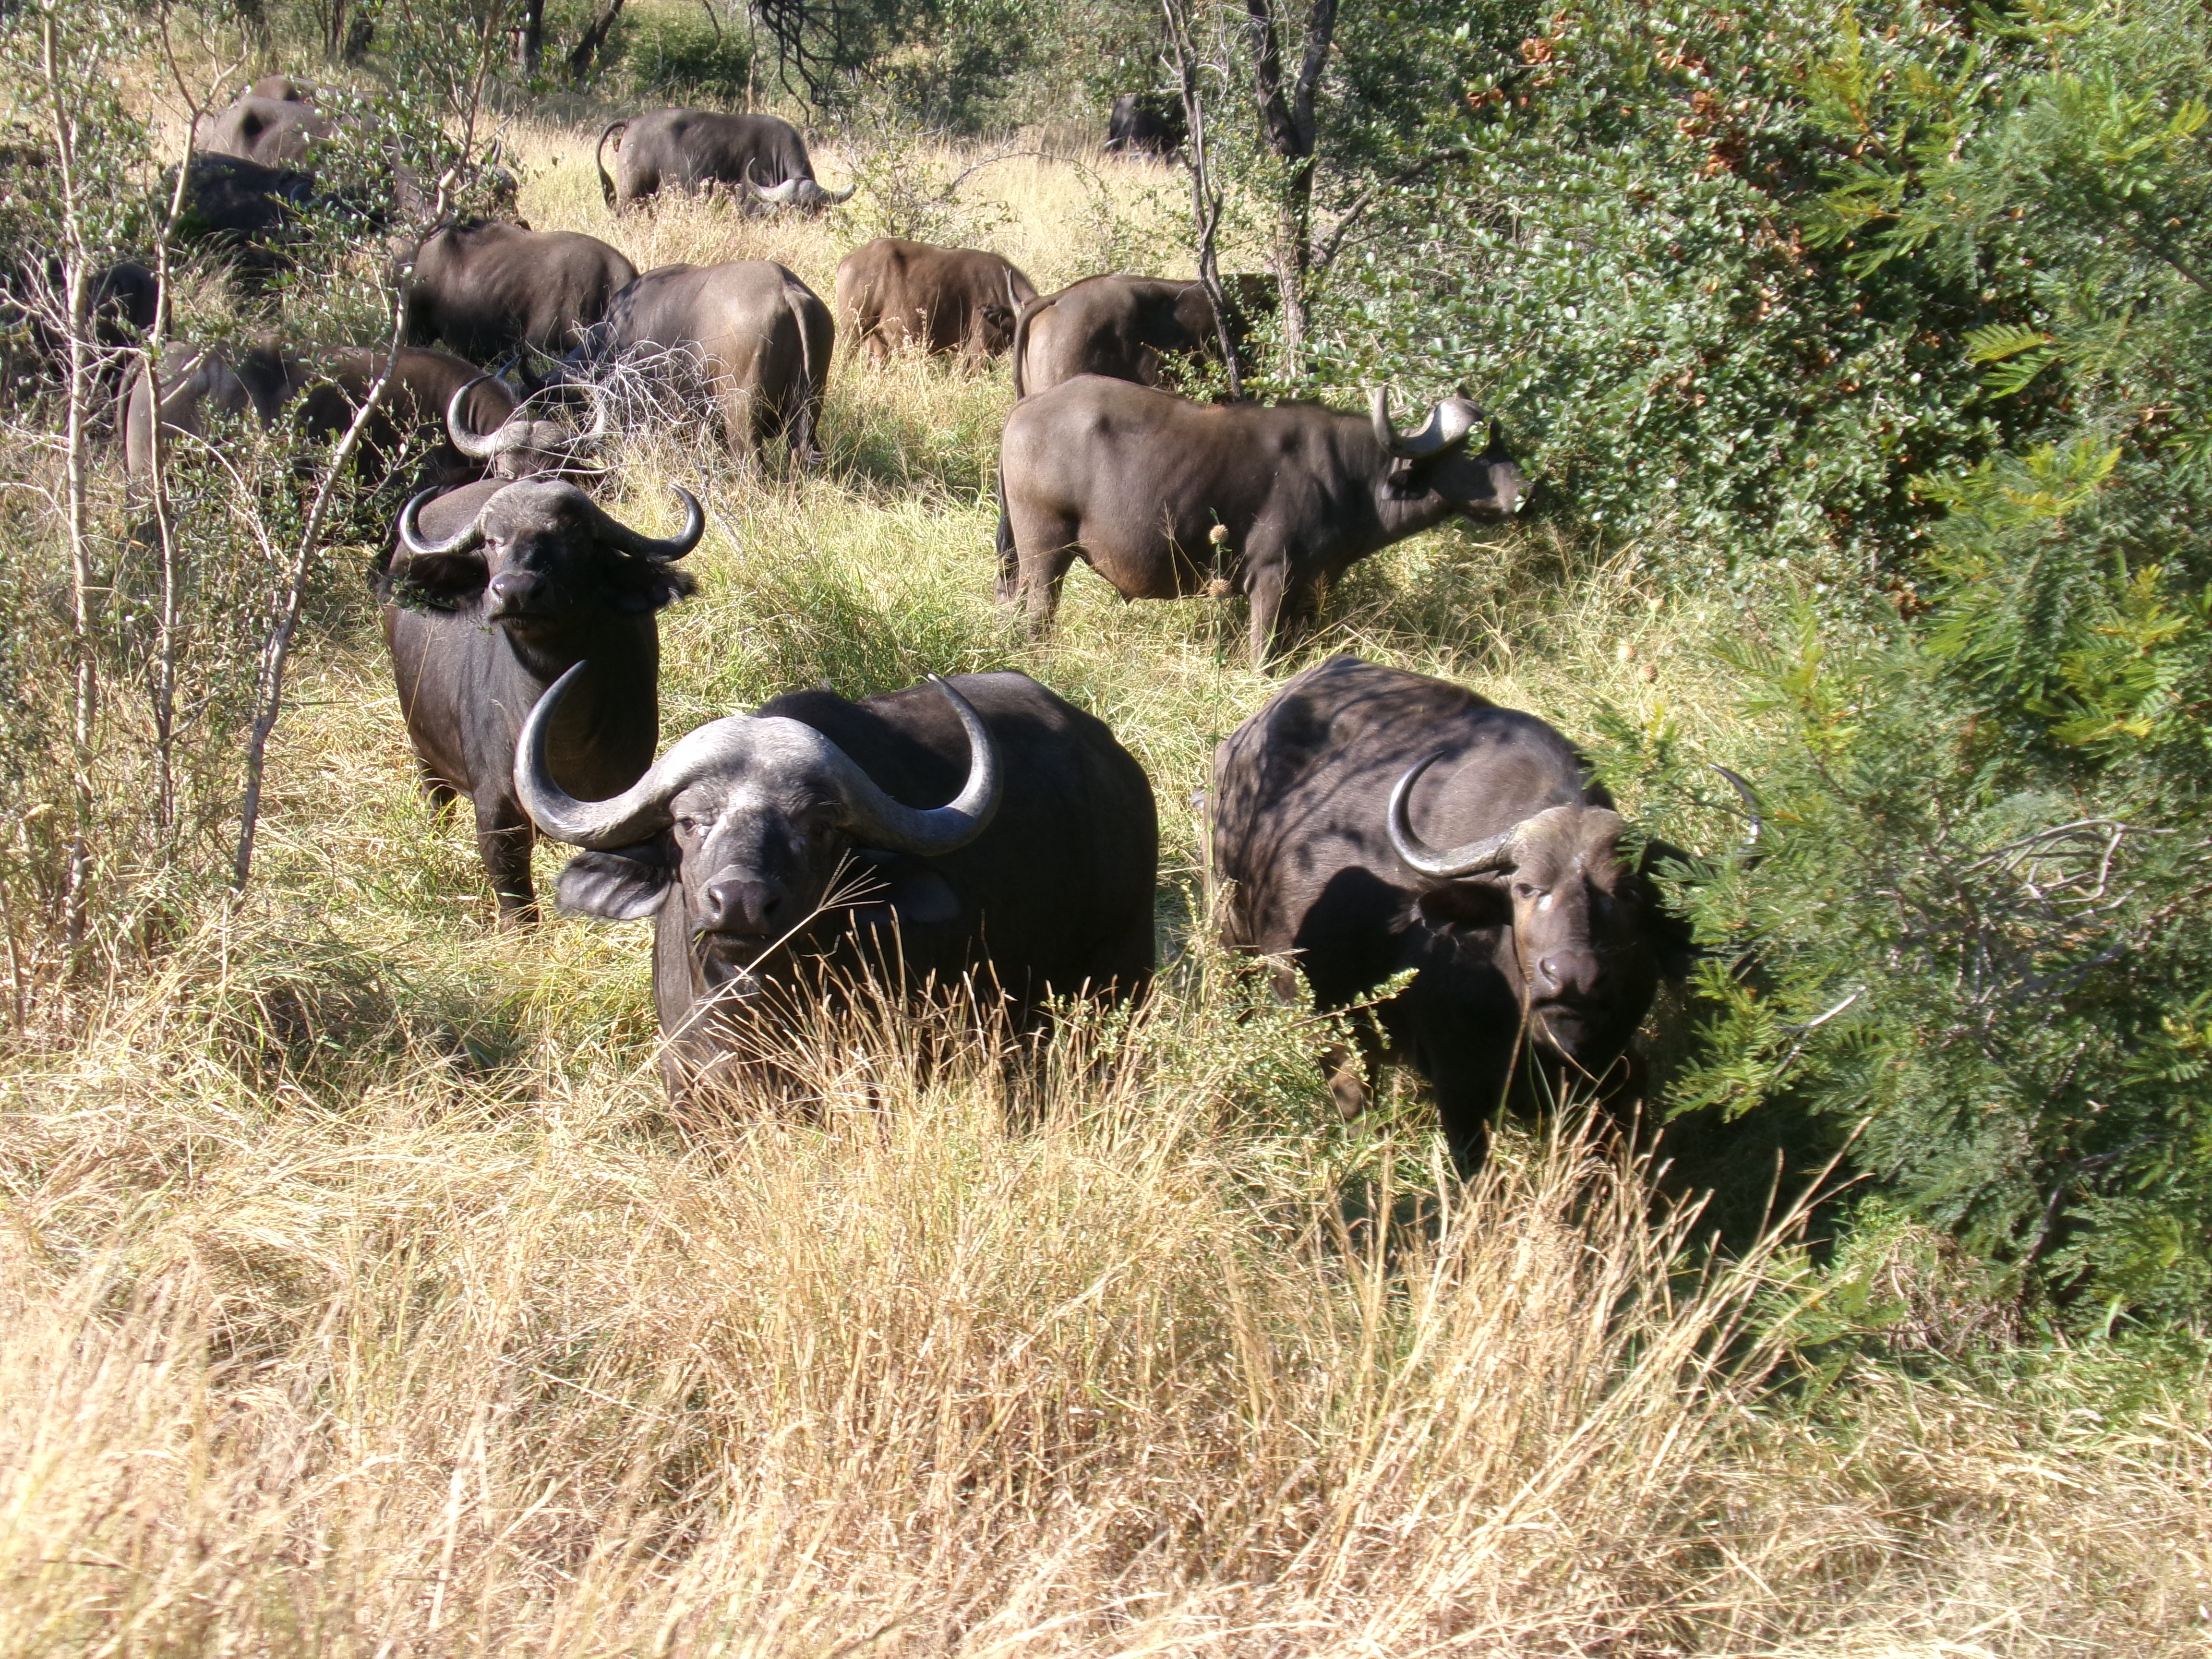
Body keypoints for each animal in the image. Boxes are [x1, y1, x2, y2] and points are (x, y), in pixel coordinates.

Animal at [382, 480, 703, 924]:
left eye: (574, 538)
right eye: (493, 541)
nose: (516, 591)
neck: (561, 734)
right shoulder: (495, 811)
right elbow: (514, 897)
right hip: (422, 750)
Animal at [996, 379, 1524, 663]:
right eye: (1473, 451)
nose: (1526, 492)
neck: (1352, 478)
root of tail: (1026, 407)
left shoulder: (1311, 591)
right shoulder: (1272, 577)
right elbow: (1262, 655)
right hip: (1047, 553)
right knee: (1039, 614)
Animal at [1207, 655, 1692, 1170]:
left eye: (1629, 891)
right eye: (1526, 888)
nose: (1572, 976)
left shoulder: (1612, 1071)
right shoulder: (1461, 1085)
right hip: (1238, 943)